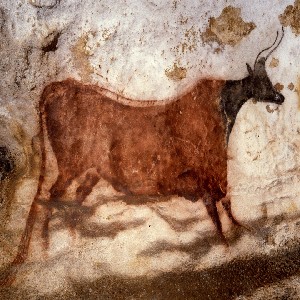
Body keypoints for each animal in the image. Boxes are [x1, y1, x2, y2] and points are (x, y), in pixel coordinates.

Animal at [1, 28, 284, 284]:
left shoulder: (211, 174)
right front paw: (228, 245)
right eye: (261, 81)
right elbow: (217, 206)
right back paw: (46, 247)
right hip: (70, 166)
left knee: (74, 200)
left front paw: (240, 235)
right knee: (52, 196)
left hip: (90, 172)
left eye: (269, 79)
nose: (280, 97)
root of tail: (60, 85)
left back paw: (68, 245)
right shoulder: (208, 172)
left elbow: (223, 204)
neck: (222, 111)